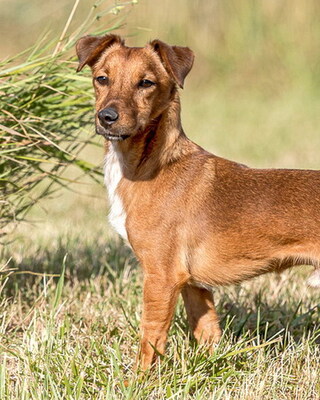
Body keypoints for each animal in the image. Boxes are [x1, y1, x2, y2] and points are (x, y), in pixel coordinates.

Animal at [76, 35, 320, 372]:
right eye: (102, 79)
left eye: (146, 83)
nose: (107, 117)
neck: (149, 165)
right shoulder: (194, 285)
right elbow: (207, 332)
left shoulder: (161, 278)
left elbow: (150, 337)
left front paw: (137, 379)